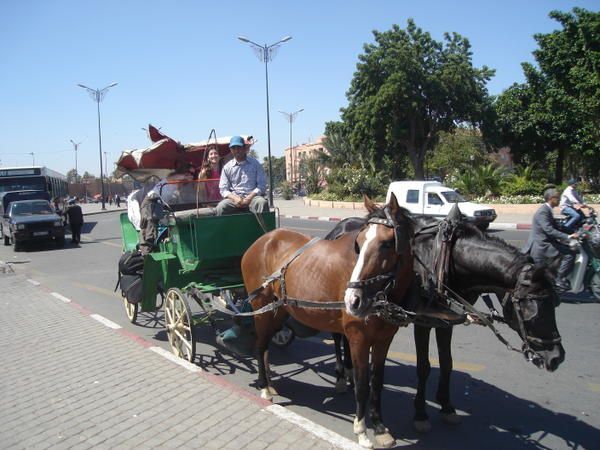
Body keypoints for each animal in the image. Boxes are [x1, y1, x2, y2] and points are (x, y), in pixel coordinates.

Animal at [241, 195, 414, 448]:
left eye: (387, 243)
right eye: (358, 243)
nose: (353, 300)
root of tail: (262, 240)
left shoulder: (384, 340)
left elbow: (377, 382)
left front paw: (380, 428)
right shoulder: (357, 339)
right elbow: (362, 385)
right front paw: (362, 431)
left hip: (278, 310)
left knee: (264, 347)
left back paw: (270, 383)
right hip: (261, 309)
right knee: (259, 345)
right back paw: (264, 388)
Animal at [326, 207, 564, 432]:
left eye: (554, 302)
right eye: (529, 307)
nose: (556, 357)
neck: (444, 261)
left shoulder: (446, 320)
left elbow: (447, 362)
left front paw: (447, 406)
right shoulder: (422, 321)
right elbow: (424, 366)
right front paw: (421, 414)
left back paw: (350, 372)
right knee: (337, 336)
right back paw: (341, 377)